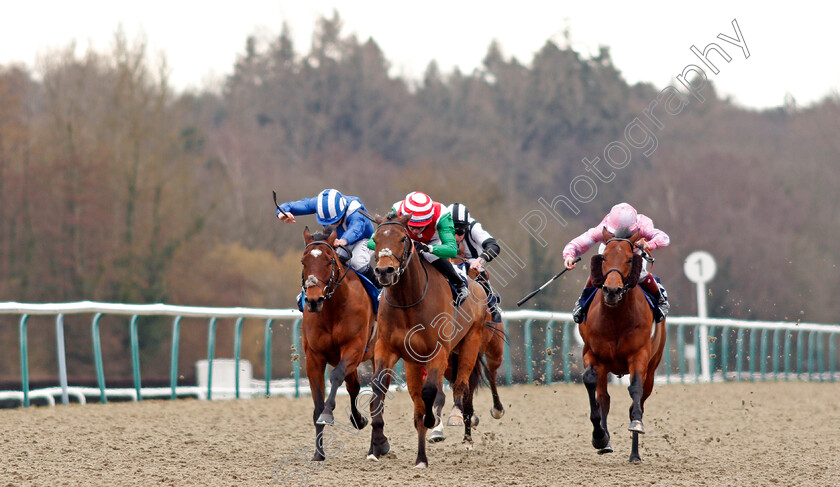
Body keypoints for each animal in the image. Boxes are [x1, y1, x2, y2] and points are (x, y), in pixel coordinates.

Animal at [296, 227, 372, 464]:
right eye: (303, 261)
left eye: (329, 261)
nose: (313, 300)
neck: (332, 309)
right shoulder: (314, 357)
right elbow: (318, 403)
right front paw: (318, 453)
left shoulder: (353, 348)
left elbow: (336, 377)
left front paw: (328, 414)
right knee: (354, 386)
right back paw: (359, 421)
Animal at [366, 214, 486, 468]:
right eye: (375, 238)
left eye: (403, 238)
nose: (384, 271)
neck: (408, 300)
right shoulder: (387, 348)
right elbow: (378, 388)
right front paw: (378, 443)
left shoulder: (439, 350)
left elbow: (430, 390)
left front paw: (434, 420)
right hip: (415, 362)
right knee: (419, 404)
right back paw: (421, 458)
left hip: (470, 342)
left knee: (462, 385)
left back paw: (458, 422)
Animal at [580, 227, 668, 464]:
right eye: (604, 257)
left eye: (629, 258)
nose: (612, 290)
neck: (616, 317)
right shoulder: (592, 354)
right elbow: (590, 383)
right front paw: (600, 437)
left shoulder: (639, 356)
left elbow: (635, 390)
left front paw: (636, 425)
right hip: (605, 367)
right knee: (604, 398)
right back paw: (606, 441)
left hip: (652, 370)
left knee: (638, 401)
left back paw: (634, 454)